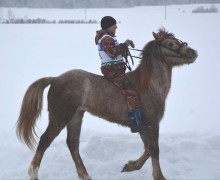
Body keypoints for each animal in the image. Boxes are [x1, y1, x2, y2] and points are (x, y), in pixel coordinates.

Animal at [15, 27, 198, 179]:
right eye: (170, 44)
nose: (193, 52)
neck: (148, 86)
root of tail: (55, 79)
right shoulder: (152, 123)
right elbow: (154, 150)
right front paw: (159, 176)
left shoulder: (143, 125)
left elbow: (148, 148)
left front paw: (131, 166)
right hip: (60, 116)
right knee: (45, 140)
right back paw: (33, 173)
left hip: (76, 116)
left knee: (72, 143)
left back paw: (85, 175)